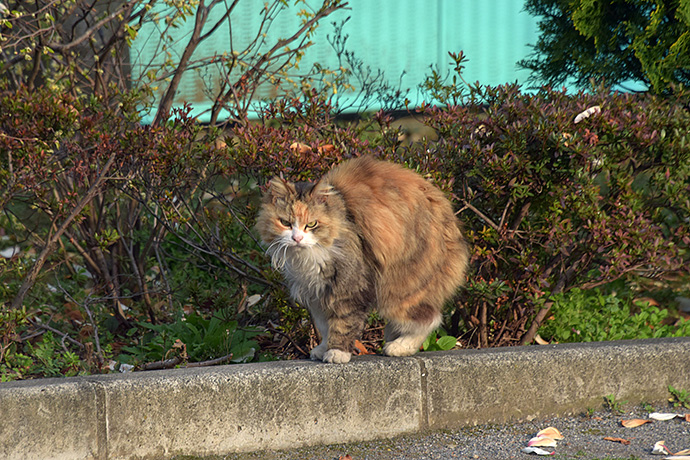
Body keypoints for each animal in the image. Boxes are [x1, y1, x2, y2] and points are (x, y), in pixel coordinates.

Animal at [255, 156, 470, 364]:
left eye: (312, 224)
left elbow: (342, 324)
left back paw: (399, 347)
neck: (308, 257)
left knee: (430, 319)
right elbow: (325, 327)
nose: (297, 238)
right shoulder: (316, 292)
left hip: (397, 289)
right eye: (285, 223)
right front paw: (323, 348)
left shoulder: (348, 288)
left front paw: (337, 352)